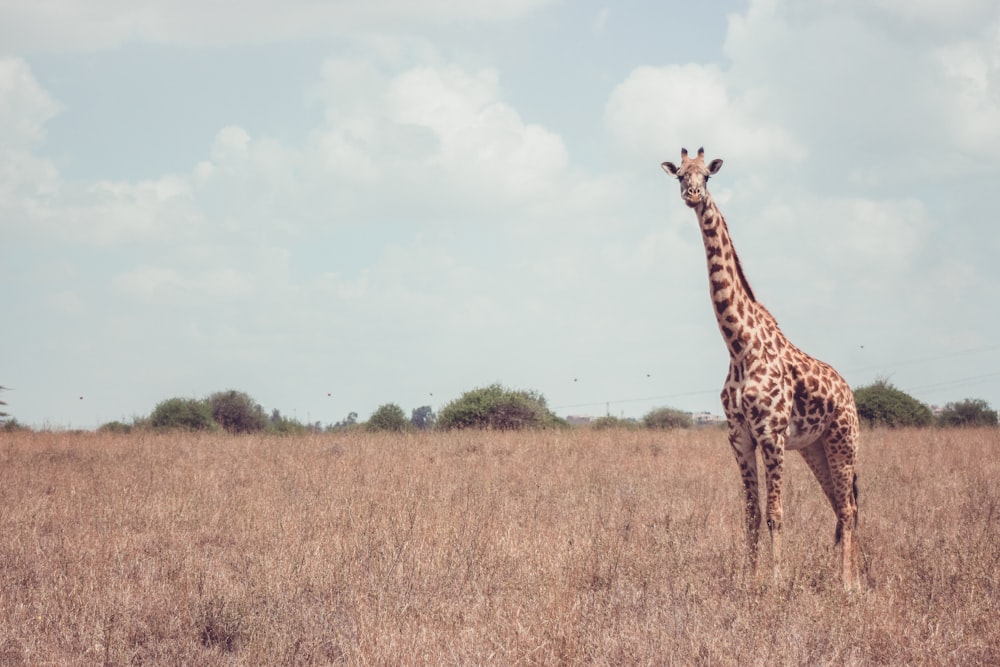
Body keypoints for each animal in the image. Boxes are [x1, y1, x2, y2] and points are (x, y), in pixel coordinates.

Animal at [660, 147, 864, 588]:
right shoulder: (739, 436)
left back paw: (848, 584)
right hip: (816, 447)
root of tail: (849, 393)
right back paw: (850, 578)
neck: (739, 345)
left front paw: (775, 580)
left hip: (844, 441)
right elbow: (751, 513)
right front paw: (748, 579)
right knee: (841, 507)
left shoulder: (771, 434)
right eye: (679, 174)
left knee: (850, 508)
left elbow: (775, 514)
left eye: (707, 175)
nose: (692, 195)